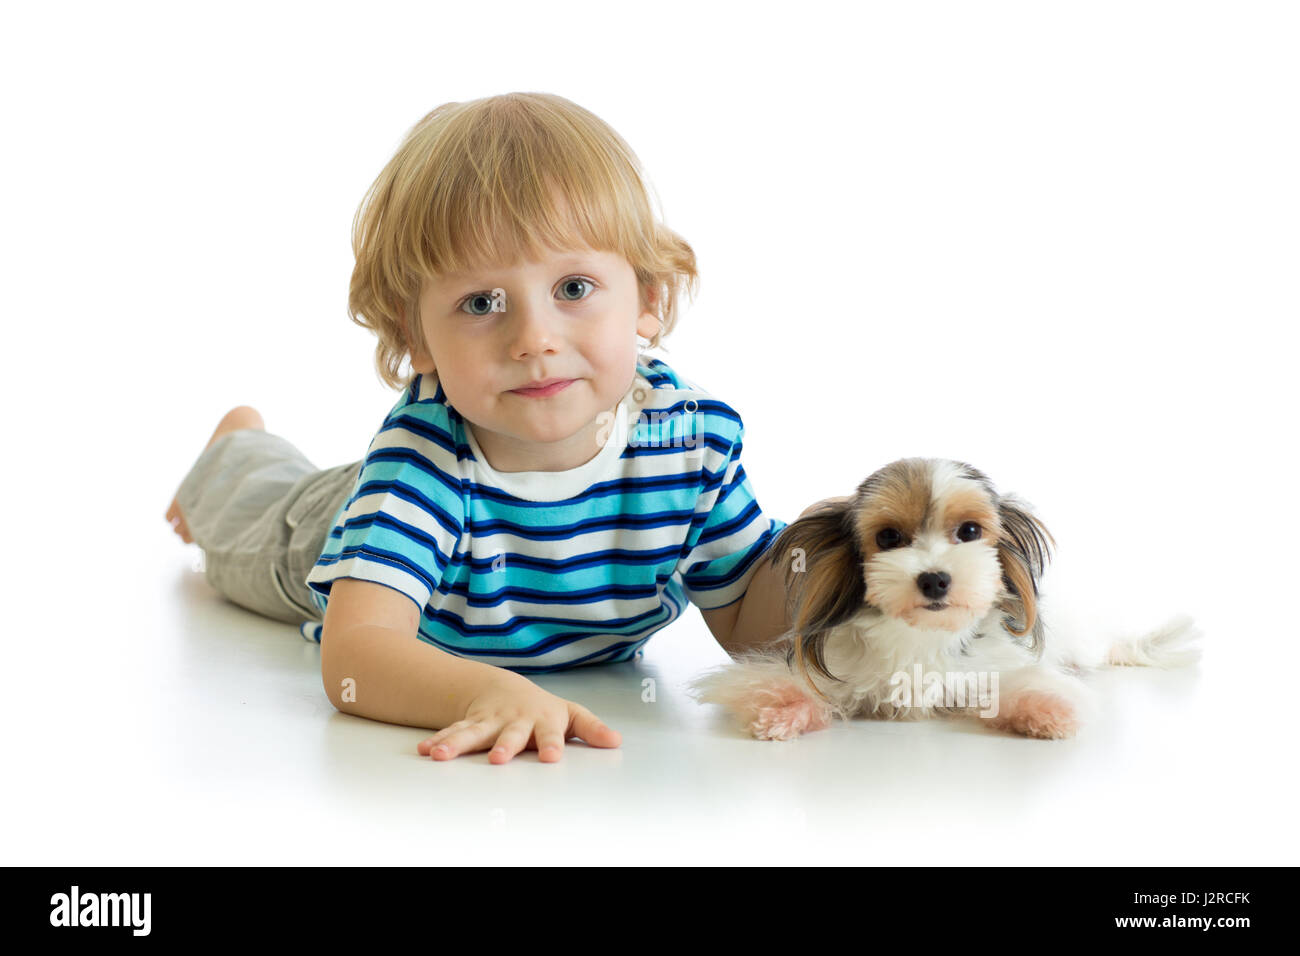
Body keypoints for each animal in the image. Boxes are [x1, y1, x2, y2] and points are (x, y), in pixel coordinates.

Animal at [686, 460, 1201, 743]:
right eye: (888, 537)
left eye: (969, 531)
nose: (934, 579)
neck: (919, 636)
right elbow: (784, 687)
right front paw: (782, 713)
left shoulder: (990, 667)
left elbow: (1020, 683)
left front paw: (1048, 711)